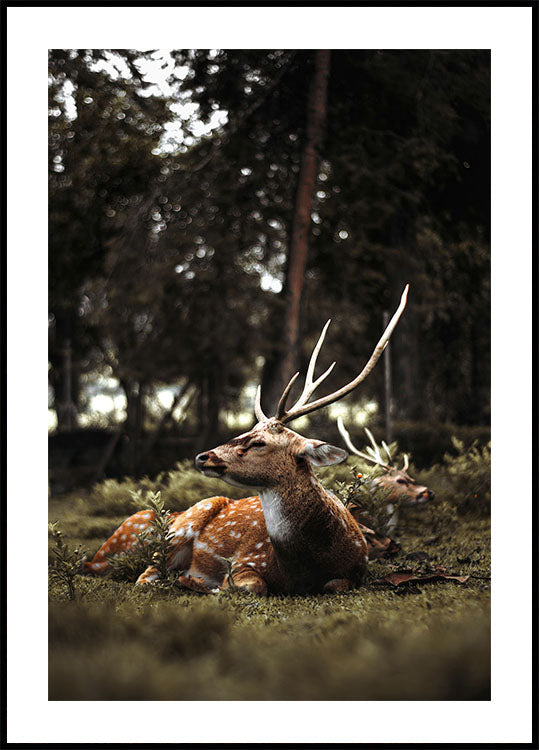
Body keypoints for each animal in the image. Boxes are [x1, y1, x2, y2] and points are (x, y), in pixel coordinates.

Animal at [85, 285, 409, 595]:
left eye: (260, 442)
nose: (203, 456)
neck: (304, 567)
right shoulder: (247, 559)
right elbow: (254, 586)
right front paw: (210, 584)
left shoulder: (355, 572)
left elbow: (335, 585)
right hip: (180, 528)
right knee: (146, 576)